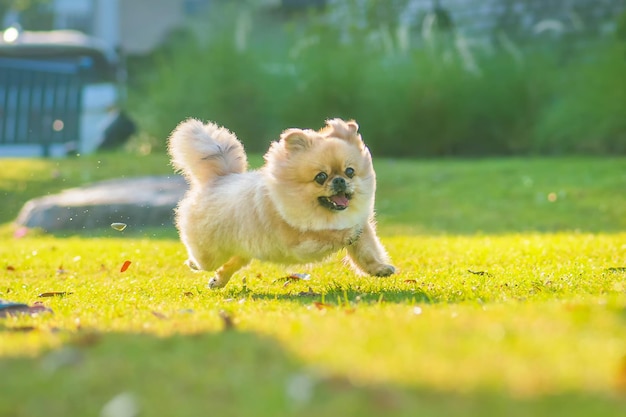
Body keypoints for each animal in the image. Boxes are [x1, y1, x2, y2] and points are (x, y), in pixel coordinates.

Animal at [168, 117, 392, 286]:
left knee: (232, 263)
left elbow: (367, 253)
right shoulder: (301, 241)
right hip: (210, 253)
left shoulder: (362, 231)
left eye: (350, 172)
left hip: (244, 248)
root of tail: (219, 178)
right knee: (205, 261)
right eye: (321, 177)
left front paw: (379, 268)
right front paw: (346, 233)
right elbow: (330, 234)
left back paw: (218, 280)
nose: (339, 180)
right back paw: (194, 264)